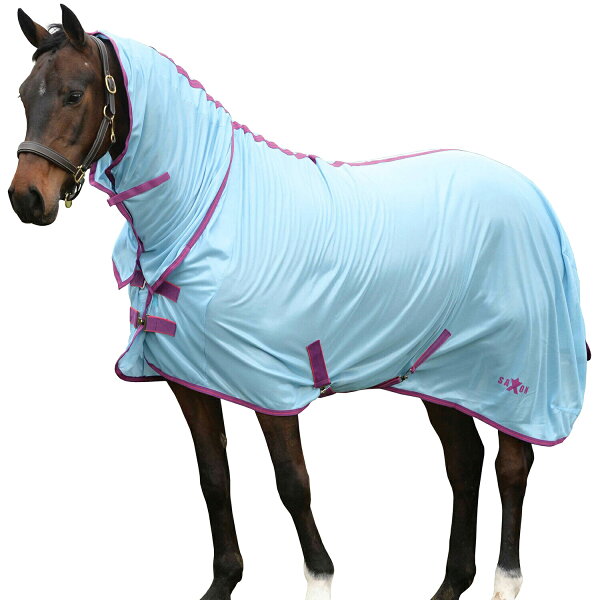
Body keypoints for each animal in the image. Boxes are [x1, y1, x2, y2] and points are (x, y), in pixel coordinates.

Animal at [9, 6, 589, 600]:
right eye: (25, 94)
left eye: (74, 94)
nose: (27, 198)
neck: (208, 210)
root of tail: (533, 198)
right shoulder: (189, 380)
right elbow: (213, 478)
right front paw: (224, 581)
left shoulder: (270, 385)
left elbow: (293, 484)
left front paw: (319, 578)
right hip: (441, 374)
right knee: (464, 461)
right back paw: (451, 583)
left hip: (512, 376)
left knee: (512, 465)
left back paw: (505, 580)